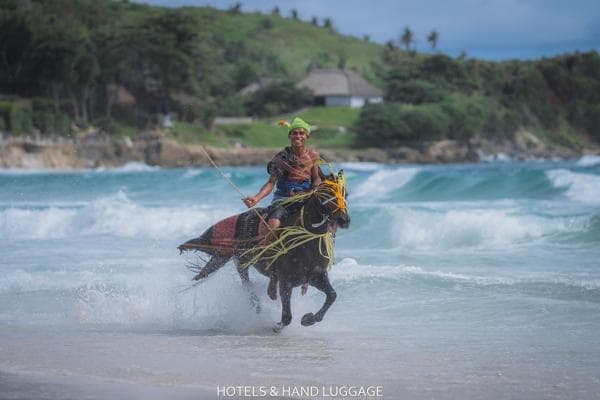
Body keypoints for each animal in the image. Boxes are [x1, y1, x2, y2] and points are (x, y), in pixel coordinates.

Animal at [176, 172, 350, 332]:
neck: (305, 242)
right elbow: (287, 317)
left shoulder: (316, 276)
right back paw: (256, 308)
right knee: (247, 285)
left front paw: (309, 319)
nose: (344, 220)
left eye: (346, 194)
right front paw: (277, 326)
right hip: (242, 261)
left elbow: (332, 295)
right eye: (326, 194)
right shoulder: (285, 281)